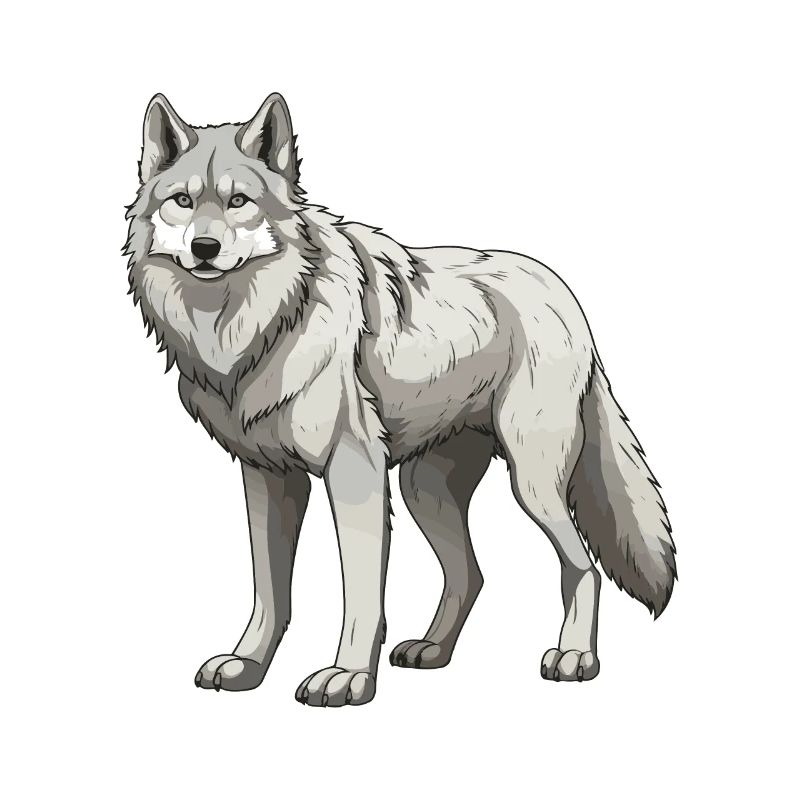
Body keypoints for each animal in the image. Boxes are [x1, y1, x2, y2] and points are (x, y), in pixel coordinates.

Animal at [124, 92, 676, 706]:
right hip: (424, 490)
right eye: (182, 201)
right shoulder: (266, 475)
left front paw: (347, 677)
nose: (205, 247)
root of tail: (564, 293)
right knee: (471, 573)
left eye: (238, 201)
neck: (263, 322)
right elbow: (270, 590)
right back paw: (432, 650)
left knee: (582, 566)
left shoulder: (354, 471)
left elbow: (361, 590)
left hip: (531, 485)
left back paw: (575, 657)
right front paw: (247, 664)